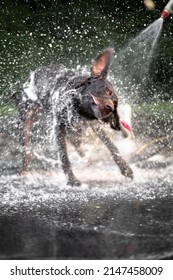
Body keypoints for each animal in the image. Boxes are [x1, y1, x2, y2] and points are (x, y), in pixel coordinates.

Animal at [18, 48, 133, 186]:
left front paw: (125, 168)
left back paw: (87, 159)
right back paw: (24, 170)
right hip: (27, 118)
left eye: (115, 104)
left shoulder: (94, 126)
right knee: (26, 149)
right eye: (107, 91)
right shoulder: (59, 127)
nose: (110, 108)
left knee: (76, 142)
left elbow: (112, 146)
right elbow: (64, 156)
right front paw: (72, 180)